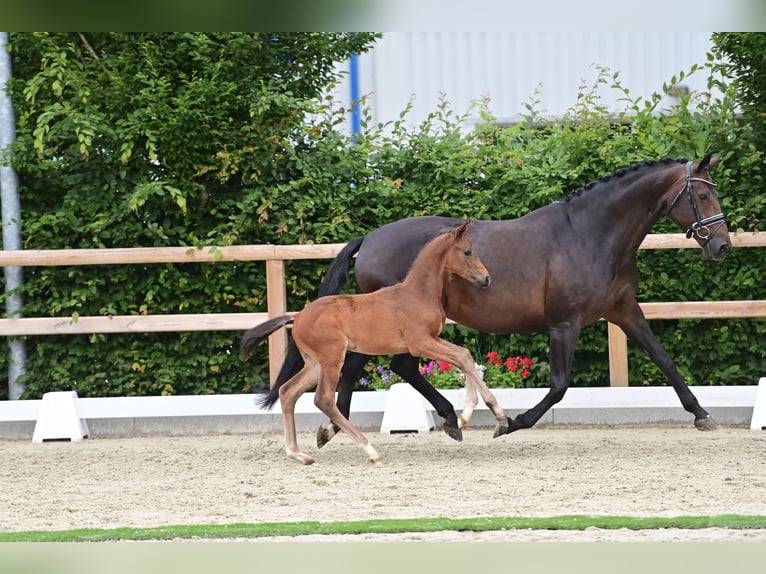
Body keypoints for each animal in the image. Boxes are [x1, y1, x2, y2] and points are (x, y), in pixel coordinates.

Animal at [270, 156, 732, 446]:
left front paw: (702, 414)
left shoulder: (623, 311)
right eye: (702, 196)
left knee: (390, 367)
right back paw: (342, 429)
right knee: (368, 367)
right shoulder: (564, 324)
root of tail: (370, 239)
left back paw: (438, 420)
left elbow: (664, 360)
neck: (590, 235)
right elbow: (559, 386)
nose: (723, 246)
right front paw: (509, 424)